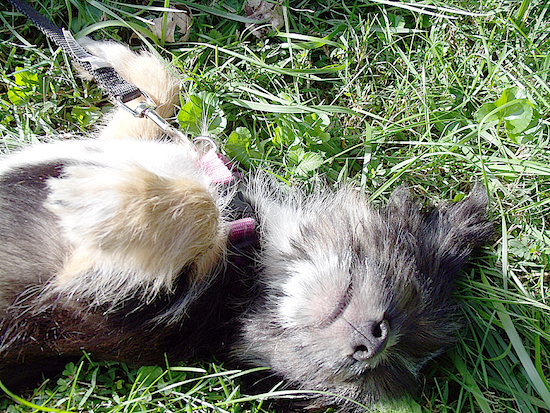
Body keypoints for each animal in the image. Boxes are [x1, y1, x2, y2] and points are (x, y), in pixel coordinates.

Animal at [0, 39, 492, 408]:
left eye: (376, 371)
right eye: (413, 287)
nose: (372, 346)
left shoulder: (92, 307)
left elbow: (199, 210)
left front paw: (101, 204)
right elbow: (156, 96)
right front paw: (108, 57)